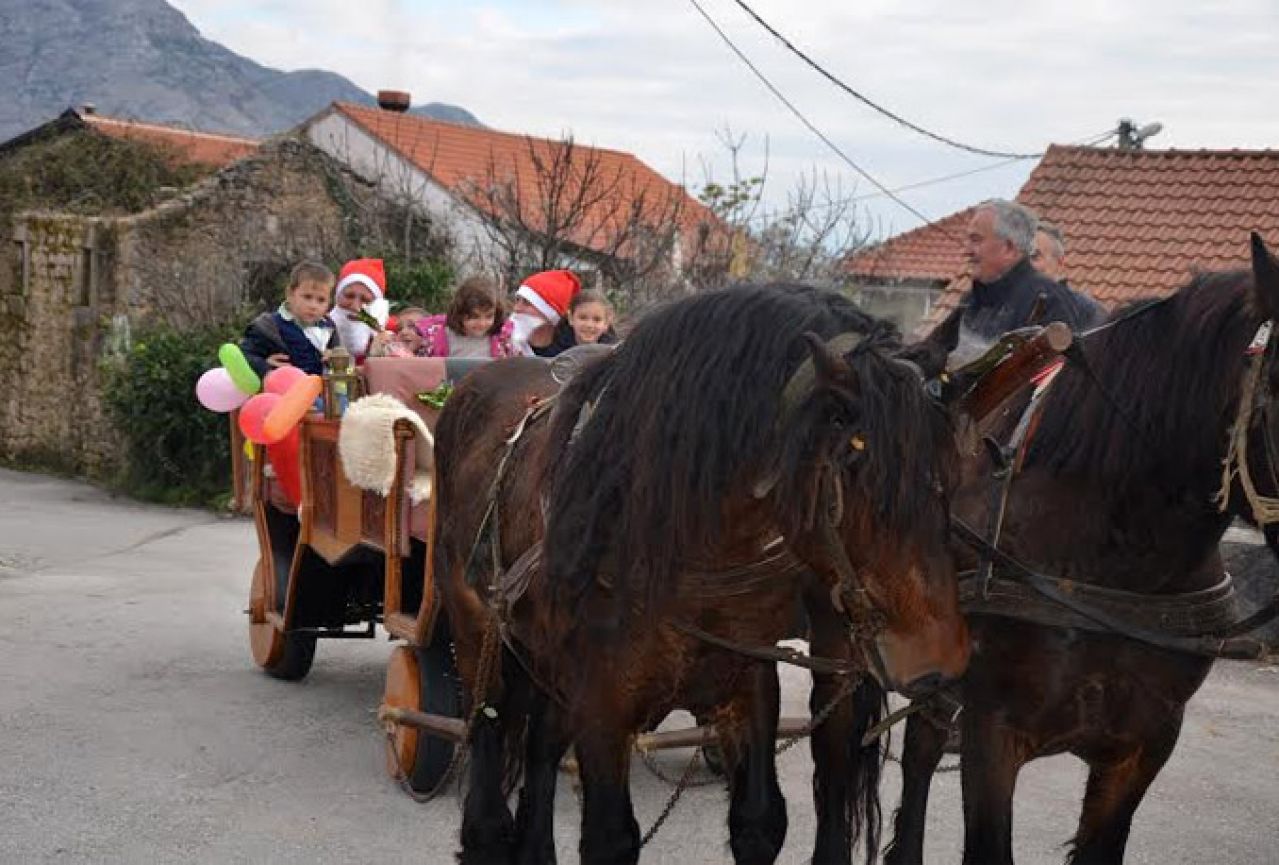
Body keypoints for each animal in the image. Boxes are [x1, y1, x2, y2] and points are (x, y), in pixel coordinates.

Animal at [429, 285, 966, 865]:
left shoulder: (746, 682)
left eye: (948, 465)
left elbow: (759, 819)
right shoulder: (601, 707)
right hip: (479, 639)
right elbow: (610, 838)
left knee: (540, 750)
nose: (940, 659)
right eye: (855, 462)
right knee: (489, 776)